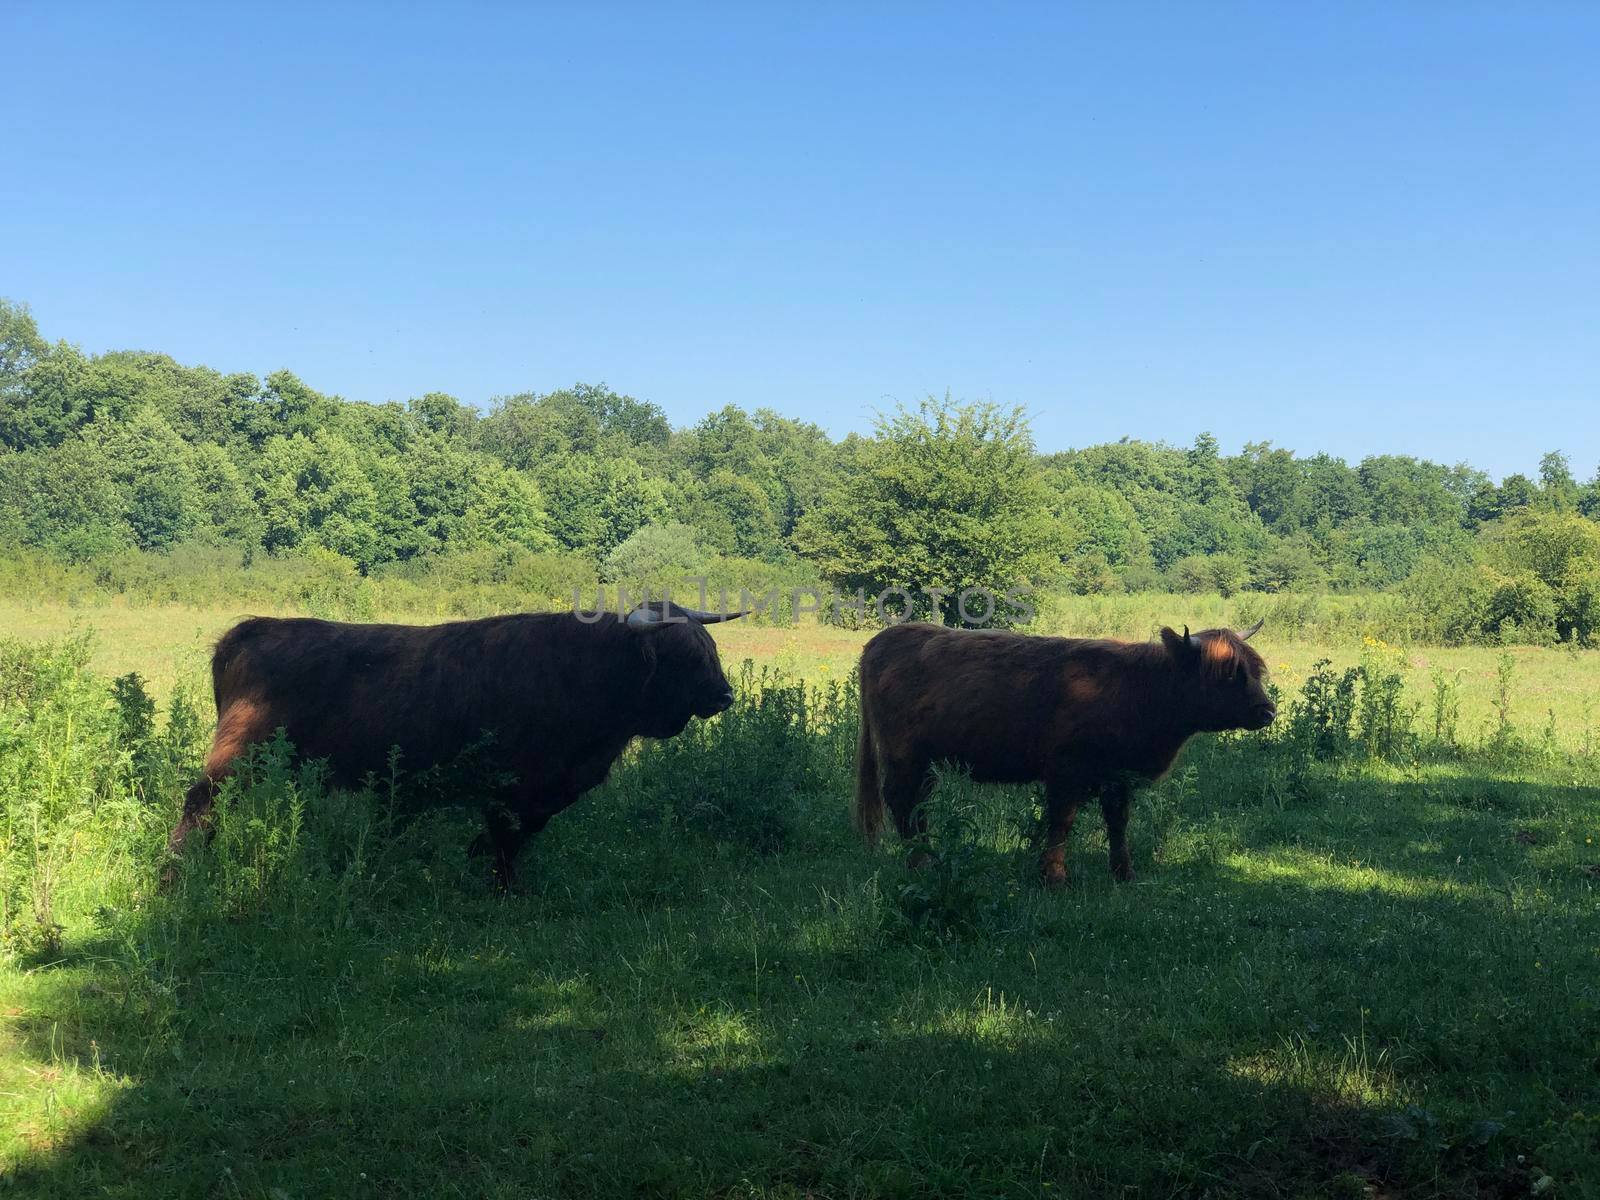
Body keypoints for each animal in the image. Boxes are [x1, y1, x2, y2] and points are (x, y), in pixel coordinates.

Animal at [165, 598, 739, 883]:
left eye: (709, 648)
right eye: (684, 656)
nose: (725, 695)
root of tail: (248, 630)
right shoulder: (515, 786)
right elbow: (507, 841)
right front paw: (500, 887)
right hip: (239, 753)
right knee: (201, 804)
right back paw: (179, 872)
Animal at [851, 624, 1273, 889]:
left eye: (1255, 671)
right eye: (1227, 674)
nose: (1268, 711)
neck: (1140, 690)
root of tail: (884, 639)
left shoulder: (1118, 777)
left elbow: (1118, 823)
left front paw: (1123, 873)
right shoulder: (1065, 772)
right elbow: (1061, 824)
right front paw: (1054, 877)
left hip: (924, 761)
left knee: (919, 804)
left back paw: (929, 857)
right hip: (903, 755)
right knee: (902, 802)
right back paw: (919, 862)